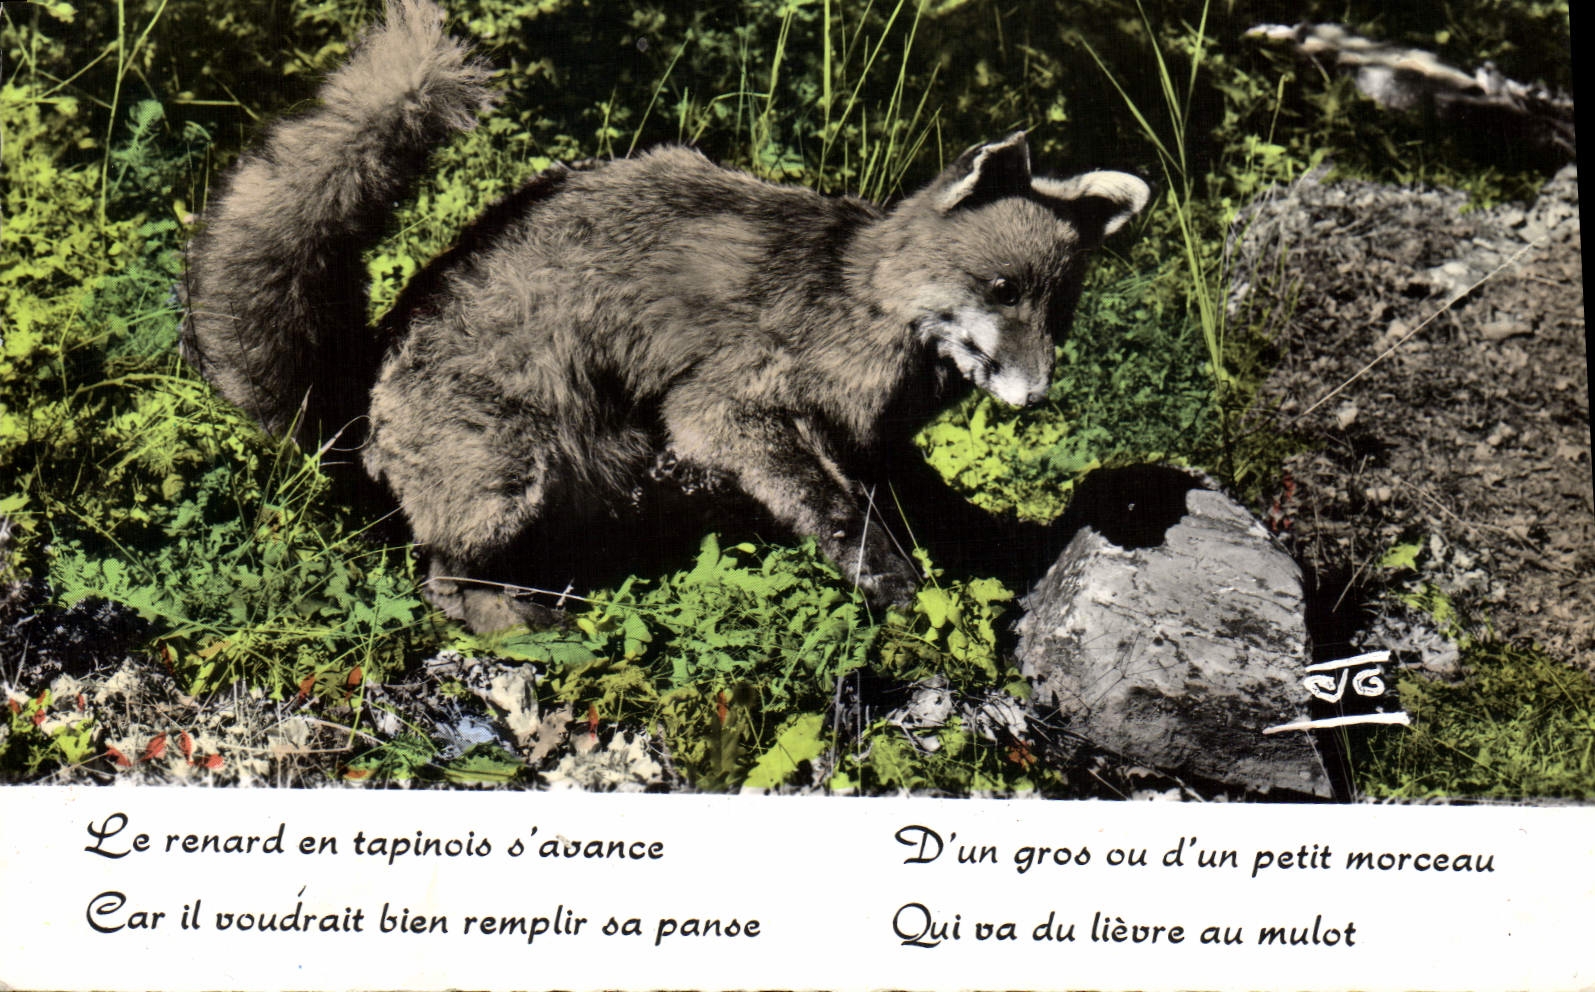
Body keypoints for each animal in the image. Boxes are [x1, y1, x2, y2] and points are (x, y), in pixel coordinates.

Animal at [182, 0, 1149, 633]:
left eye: (1057, 308)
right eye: (1001, 289)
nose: (1034, 395)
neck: (867, 304)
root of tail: (360, 404)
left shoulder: (873, 441)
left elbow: (929, 507)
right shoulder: (726, 409)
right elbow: (841, 516)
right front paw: (890, 584)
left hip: (601, 460)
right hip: (513, 472)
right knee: (437, 576)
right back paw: (516, 618)